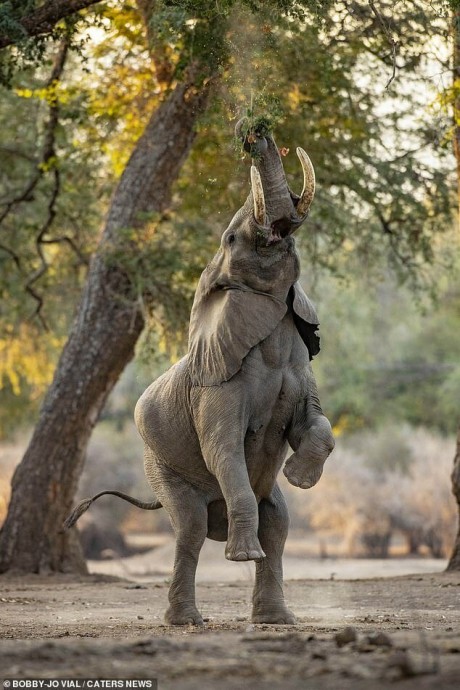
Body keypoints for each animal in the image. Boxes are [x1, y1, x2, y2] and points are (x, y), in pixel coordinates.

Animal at [63, 121, 334, 628]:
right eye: (230, 238)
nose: (257, 135)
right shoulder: (217, 387)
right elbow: (221, 445)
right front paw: (242, 556)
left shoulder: (300, 368)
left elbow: (317, 425)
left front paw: (298, 476)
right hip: (161, 466)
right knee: (189, 528)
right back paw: (186, 621)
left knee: (278, 523)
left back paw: (275, 620)